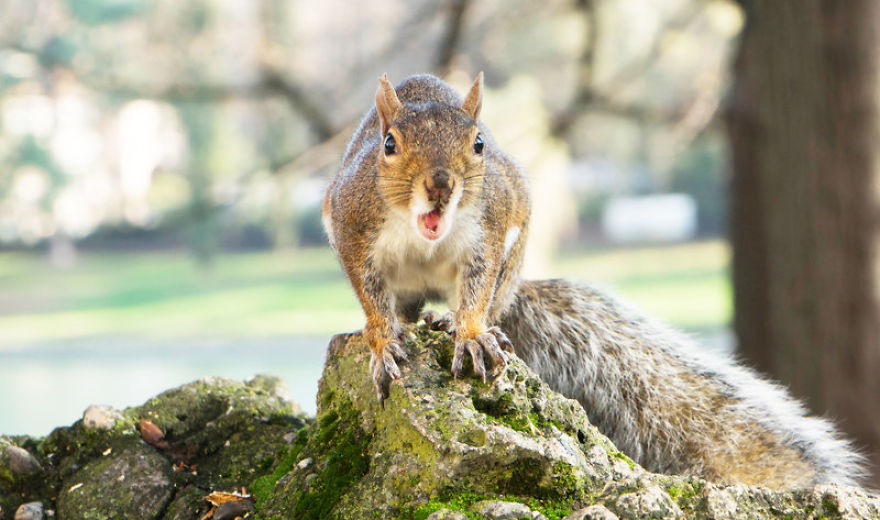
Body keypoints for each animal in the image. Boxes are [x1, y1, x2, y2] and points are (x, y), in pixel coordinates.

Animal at [322, 73, 866, 490]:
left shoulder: (490, 233)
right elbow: (371, 297)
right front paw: (381, 342)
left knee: (490, 300)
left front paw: (472, 333)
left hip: (514, 256)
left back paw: (455, 323)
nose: (440, 184)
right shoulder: (352, 230)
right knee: (405, 307)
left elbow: (477, 290)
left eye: (478, 143)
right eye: (389, 144)